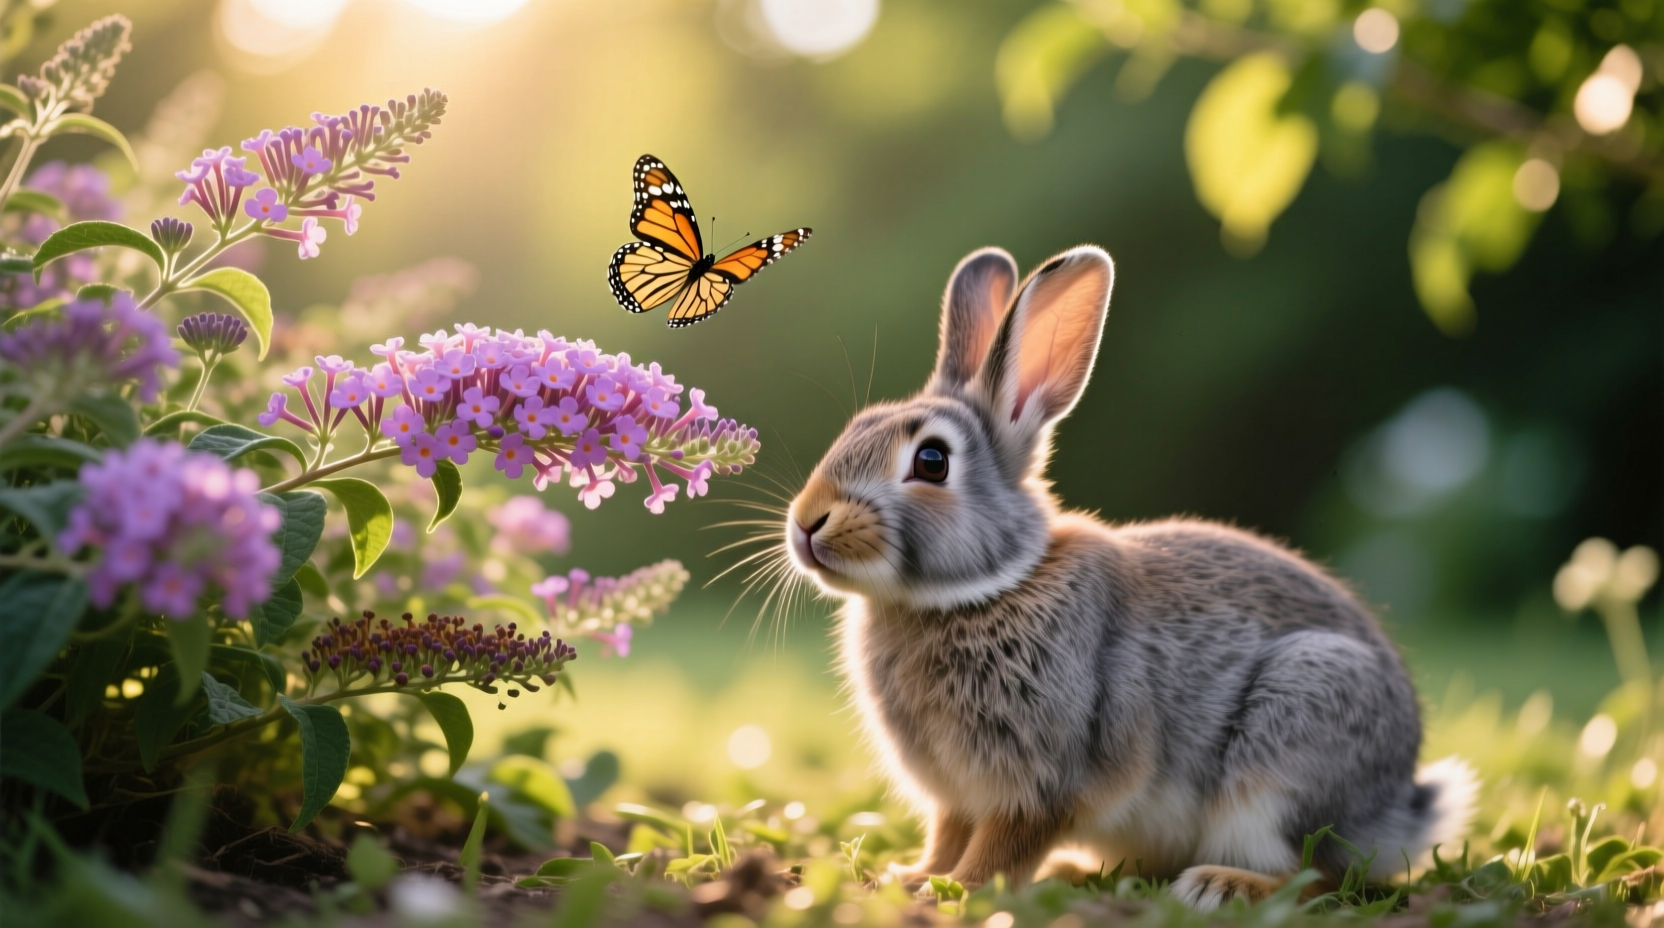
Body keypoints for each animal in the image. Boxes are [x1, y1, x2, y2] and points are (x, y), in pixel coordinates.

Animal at [783, 245, 1476, 910]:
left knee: (1321, 874)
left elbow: (1004, 842)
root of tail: (1398, 810)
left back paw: (1221, 886)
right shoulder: (957, 793)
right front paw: (914, 875)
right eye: (855, 427)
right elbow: (950, 833)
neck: (981, 590)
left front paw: (957, 889)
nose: (807, 522)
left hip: (1291, 742)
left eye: (931, 461)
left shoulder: (1044, 777)